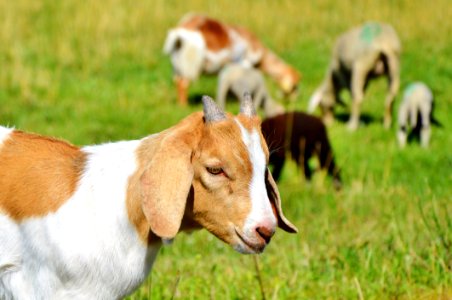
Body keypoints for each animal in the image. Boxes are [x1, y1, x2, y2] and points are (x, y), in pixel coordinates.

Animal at [164, 13, 302, 105]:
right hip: (190, 65)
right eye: (294, 86)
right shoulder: (245, 62)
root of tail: (180, 32)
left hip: (177, 64)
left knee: (177, 81)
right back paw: (183, 106)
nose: (293, 100)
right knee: (183, 83)